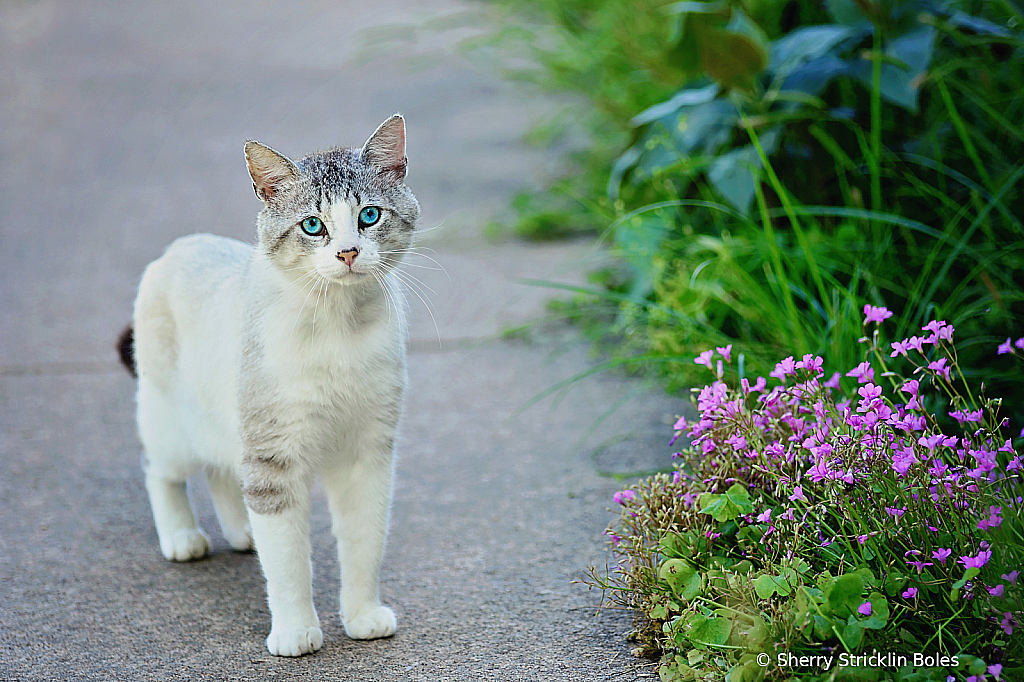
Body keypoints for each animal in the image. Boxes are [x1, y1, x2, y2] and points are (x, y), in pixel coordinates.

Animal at [118, 115, 419, 655]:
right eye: (313, 225)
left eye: (369, 216)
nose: (348, 252)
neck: (338, 328)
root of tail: (181, 244)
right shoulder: (274, 458)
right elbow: (288, 563)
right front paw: (296, 632)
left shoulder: (367, 455)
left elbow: (364, 544)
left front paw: (362, 617)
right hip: (172, 423)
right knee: (161, 471)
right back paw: (183, 538)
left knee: (221, 472)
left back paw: (243, 535)